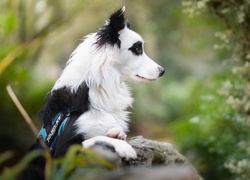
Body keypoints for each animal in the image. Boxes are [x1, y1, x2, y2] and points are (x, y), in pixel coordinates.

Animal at [26, 5, 164, 177]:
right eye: (137, 49)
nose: (162, 71)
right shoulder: (60, 153)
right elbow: (94, 139)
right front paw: (123, 147)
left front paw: (117, 134)